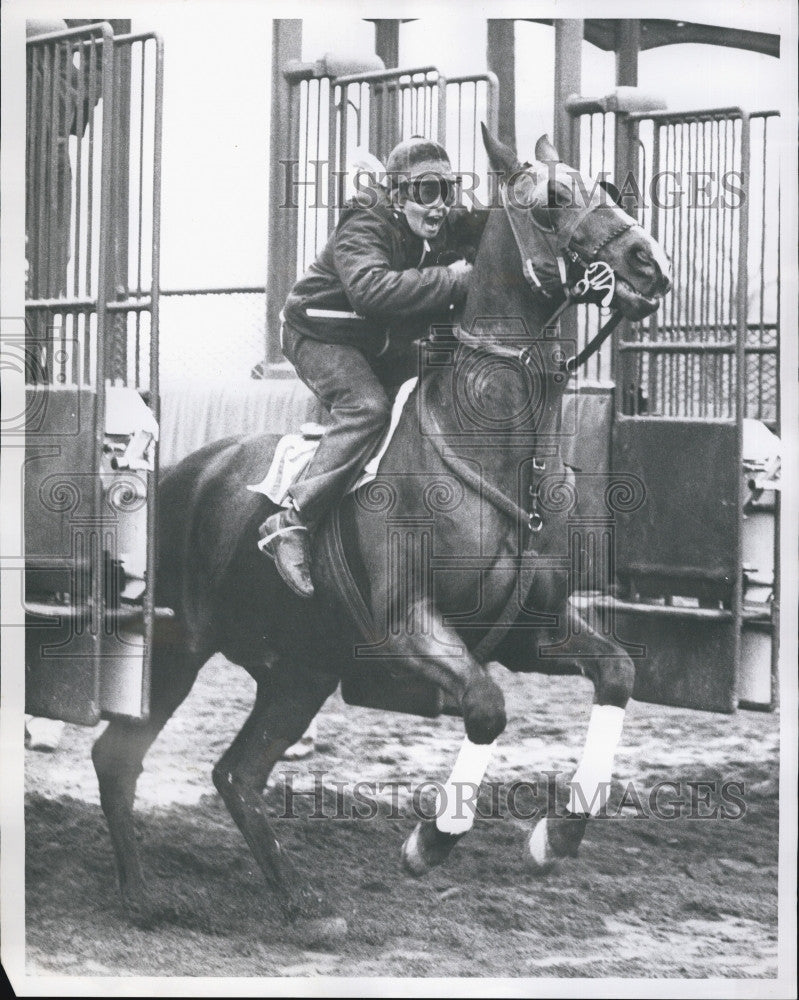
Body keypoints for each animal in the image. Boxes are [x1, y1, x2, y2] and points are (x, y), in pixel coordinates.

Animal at [90, 127, 672, 936]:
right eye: (553, 199)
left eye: (608, 190)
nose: (648, 262)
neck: (492, 451)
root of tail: (176, 476)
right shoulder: (407, 623)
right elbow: (486, 708)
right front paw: (431, 840)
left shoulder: (534, 629)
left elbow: (616, 672)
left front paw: (556, 834)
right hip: (172, 651)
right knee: (121, 754)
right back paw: (143, 894)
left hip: (299, 669)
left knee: (236, 773)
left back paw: (297, 901)